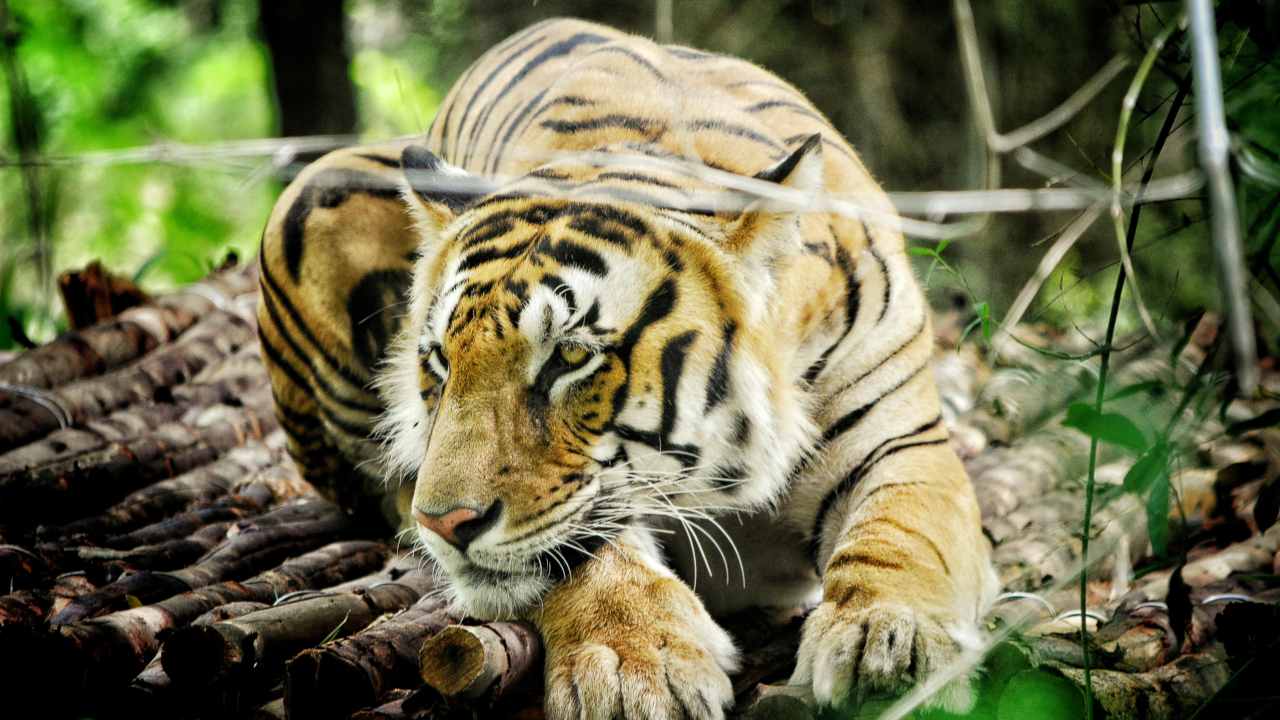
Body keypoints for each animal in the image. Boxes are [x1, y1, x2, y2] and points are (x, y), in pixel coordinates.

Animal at [257, 17, 997, 718]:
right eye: (441, 361)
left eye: (569, 357)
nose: (445, 524)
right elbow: (586, 552)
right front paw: (631, 669)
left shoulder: (902, 441)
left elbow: (905, 532)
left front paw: (890, 647)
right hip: (321, 188)